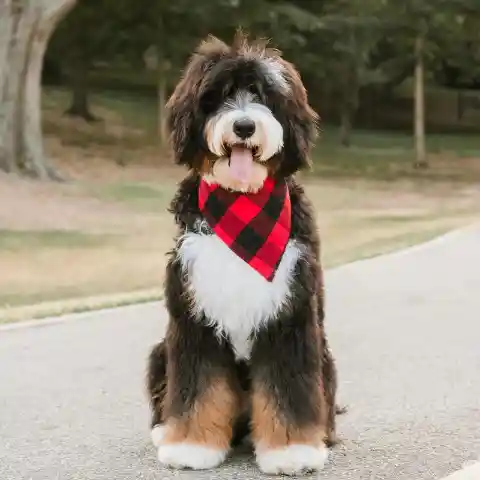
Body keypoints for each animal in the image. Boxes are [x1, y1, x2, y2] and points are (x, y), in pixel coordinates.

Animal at [147, 31, 342, 474]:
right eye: (217, 96)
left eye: (263, 94)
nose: (244, 125)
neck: (242, 200)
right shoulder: (194, 317)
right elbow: (199, 388)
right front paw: (191, 445)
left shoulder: (289, 319)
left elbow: (288, 390)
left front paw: (292, 451)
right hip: (160, 351)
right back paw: (163, 430)